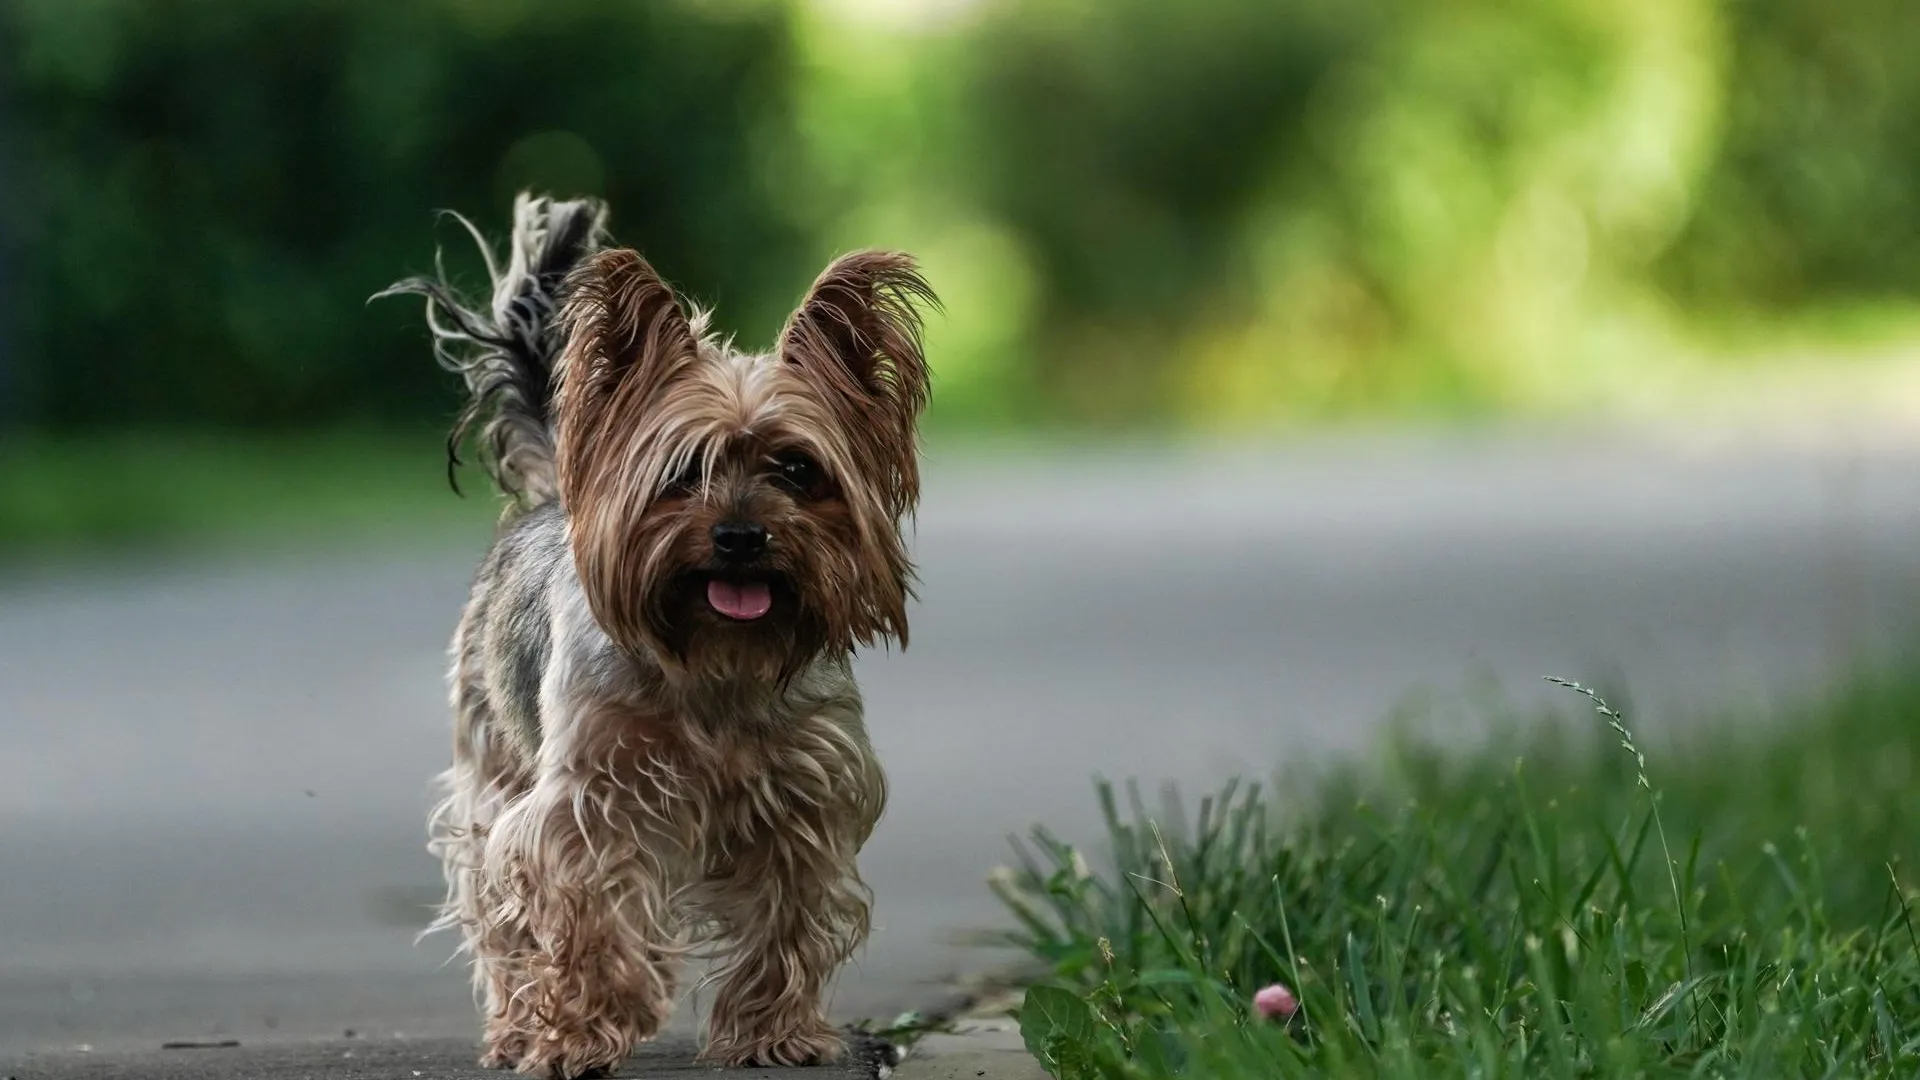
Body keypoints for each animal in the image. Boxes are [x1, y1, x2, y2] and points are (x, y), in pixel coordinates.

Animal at [376, 189, 936, 1068]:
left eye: (797, 469)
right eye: (682, 474)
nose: (740, 535)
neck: (718, 659)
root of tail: (553, 496)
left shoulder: (805, 796)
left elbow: (790, 916)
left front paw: (775, 1033)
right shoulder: (589, 800)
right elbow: (586, 912)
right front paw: (577, 1033)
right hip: (491, 762)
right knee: (494, 902)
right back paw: (515, 1026)